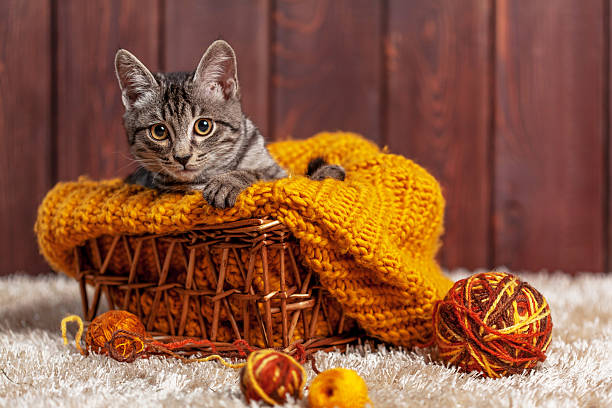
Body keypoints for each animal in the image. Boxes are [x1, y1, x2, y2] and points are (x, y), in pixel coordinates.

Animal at [115, 39, 344, 209]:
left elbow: (268, 175)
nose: (182, 157)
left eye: (203, 126)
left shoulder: (273, 169)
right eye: (159, 131)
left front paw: (228, 181)